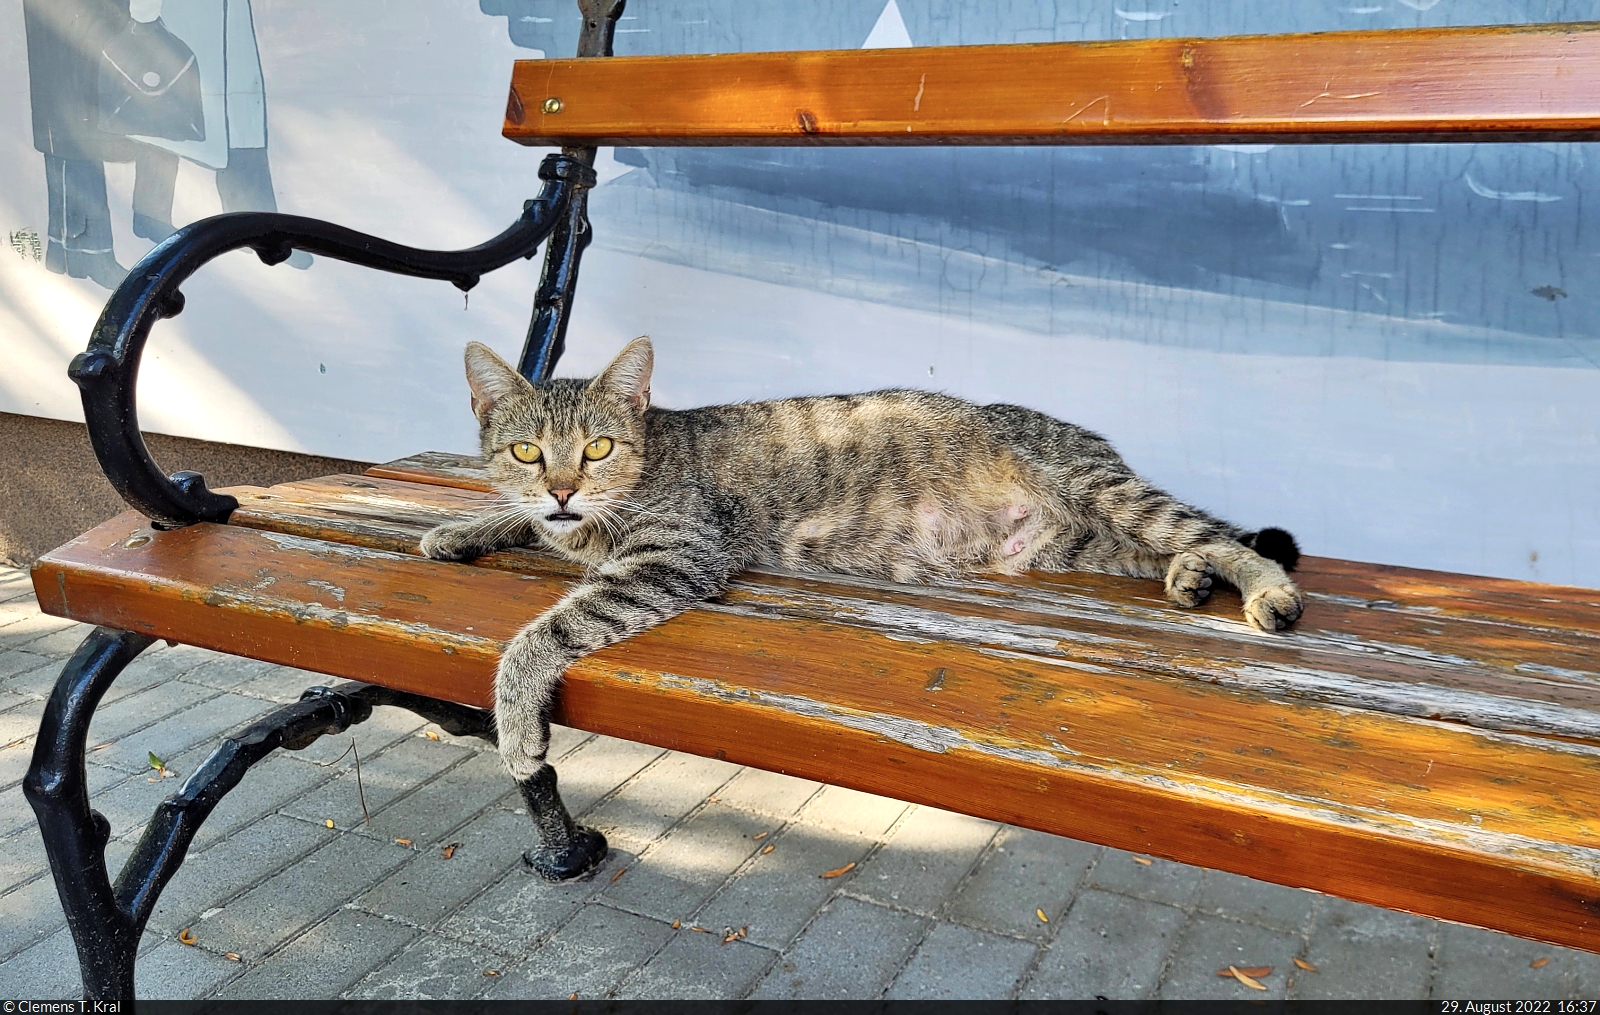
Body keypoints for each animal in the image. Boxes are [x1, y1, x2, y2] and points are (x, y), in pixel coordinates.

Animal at [416, 339, 1299, 781]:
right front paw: (467, 526)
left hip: (1099, 488)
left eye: (597, 447)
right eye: (527, 451)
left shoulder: (675, 556)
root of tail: (1095, 445)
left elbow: (541, 634)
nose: (564, 486)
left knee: (1212, 531)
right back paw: (1188, 577)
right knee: (1173, 544)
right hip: (1072, 541)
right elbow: (523, 519)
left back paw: (1263, 589)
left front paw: (516, 719)